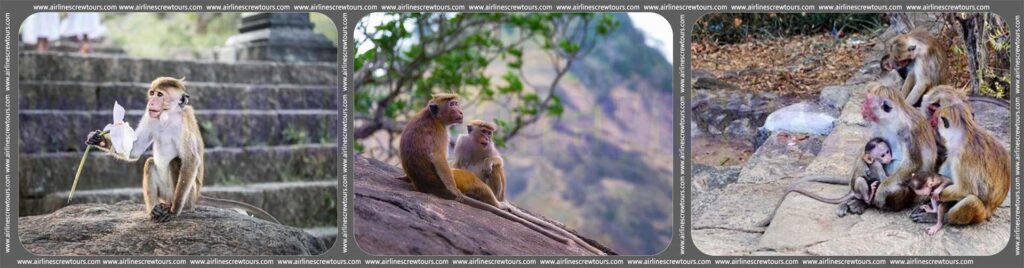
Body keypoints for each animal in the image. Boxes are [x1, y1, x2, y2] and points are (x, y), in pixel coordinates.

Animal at [84, 76, 280, 224]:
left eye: (160, 94)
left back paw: (177, 207)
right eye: (152, 93)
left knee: (176, 162)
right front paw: (98, 138)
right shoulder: (150, 117)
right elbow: (135, 152)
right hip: (164, 193)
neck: (167, 117)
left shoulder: (183, 128)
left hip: (188, 193)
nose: (151, 101)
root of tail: (198, 195)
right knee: (150, 163)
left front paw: (174, 211)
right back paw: (154, 209)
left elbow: (191, 160)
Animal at [452, 118, 602, 253]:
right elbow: (458, 164)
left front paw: (488, 162)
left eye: (489, 133)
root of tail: (502, 198)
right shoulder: (462, 142)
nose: (487, 138)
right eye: (483, 131)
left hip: (498, 193)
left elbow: (497, 160)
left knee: (495, 170)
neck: (477, 144)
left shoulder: (490, 148)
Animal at [757, 136, 892, 226]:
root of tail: (852, 191)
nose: (889, 157)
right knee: (860, 181)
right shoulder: (876, 164)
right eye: (883, 155)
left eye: (887, 152)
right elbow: (881, 178)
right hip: (858, 189)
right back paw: (867, 196)